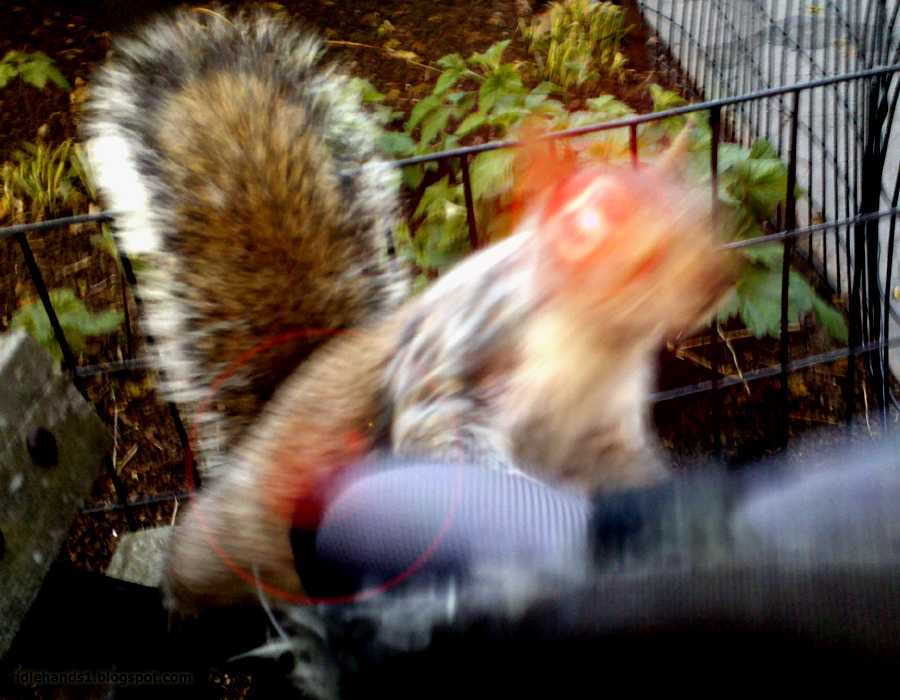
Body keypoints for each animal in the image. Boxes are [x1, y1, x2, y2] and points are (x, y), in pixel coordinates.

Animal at [81, 6, 735, 612]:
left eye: (709, 215)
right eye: (642, 258)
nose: (720, 281)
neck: (597, 345)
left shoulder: (600, 428)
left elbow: (625, 468)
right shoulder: (462, 367)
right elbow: (453, 446)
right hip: (233, 539)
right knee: (195, 569)